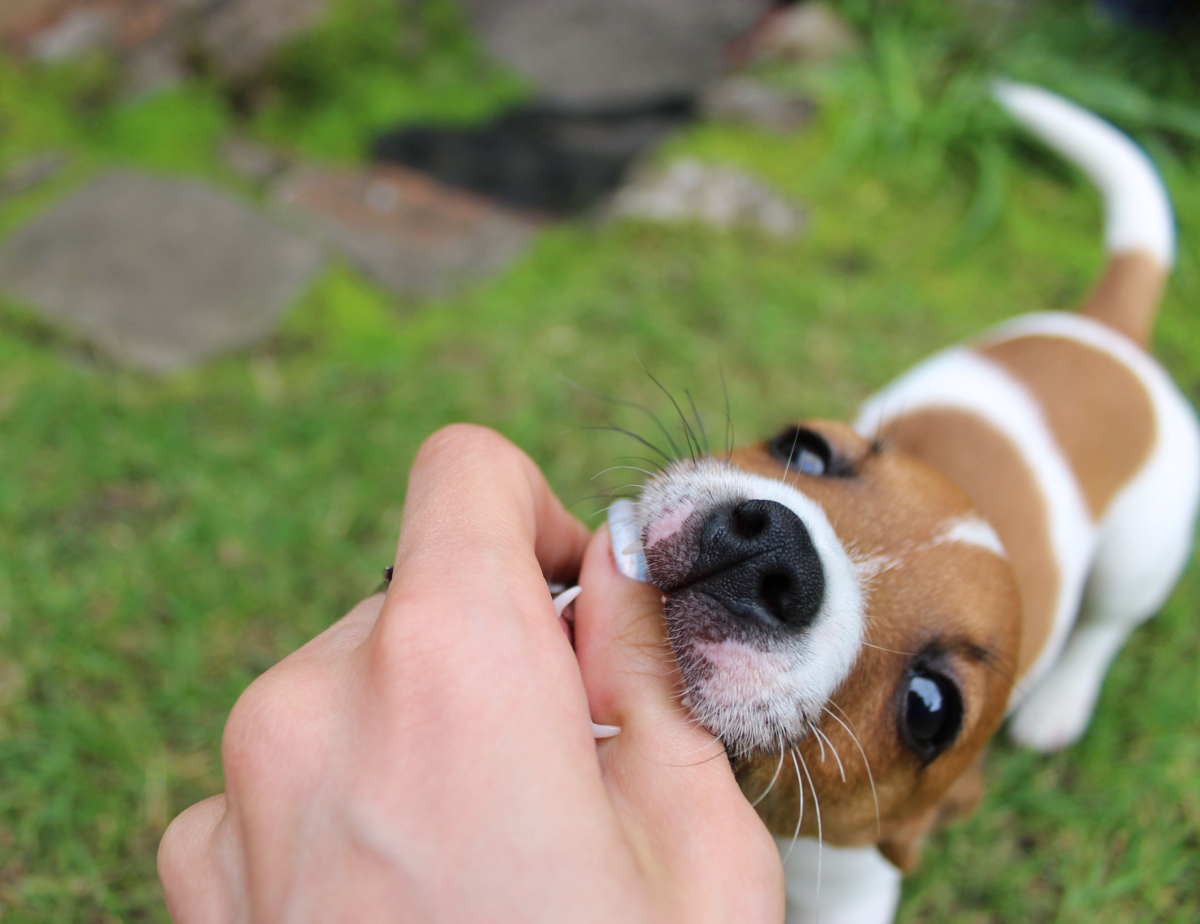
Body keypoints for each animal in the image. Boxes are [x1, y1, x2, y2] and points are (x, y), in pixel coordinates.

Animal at [604, 82, 1200, 916]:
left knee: (1107, 623)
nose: (772, 550)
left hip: (1139, 552)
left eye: (929, 709)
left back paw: (1060, 703)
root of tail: (1111, 333)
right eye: (805, 449)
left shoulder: (851, 895)